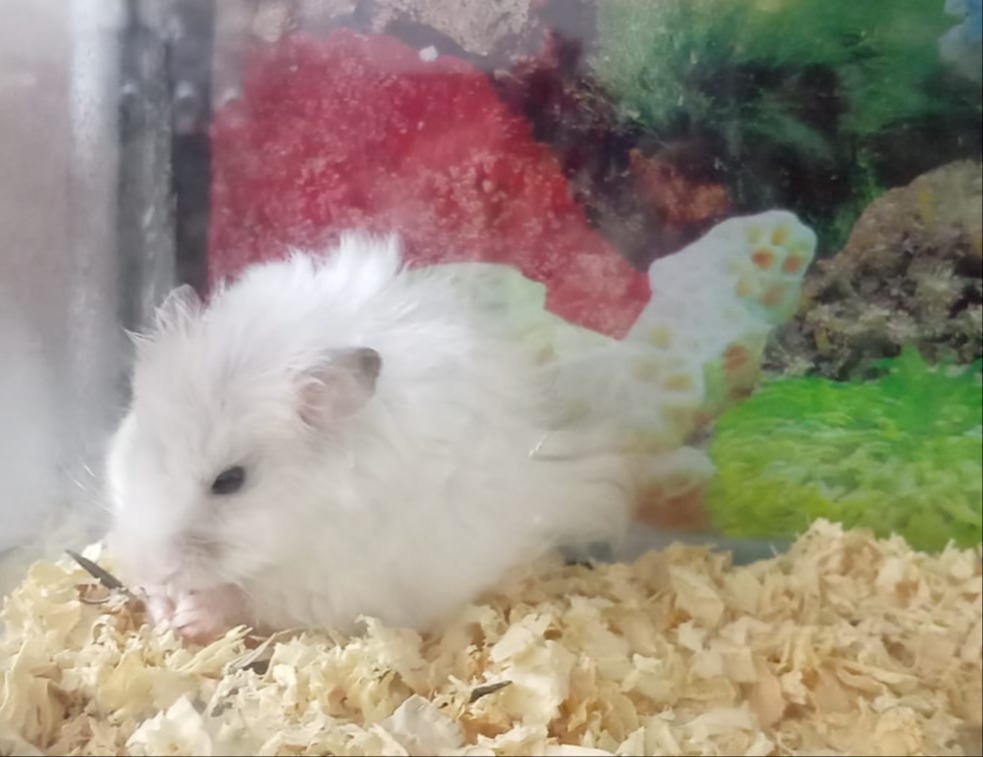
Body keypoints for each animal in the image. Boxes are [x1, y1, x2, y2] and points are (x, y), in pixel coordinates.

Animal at [105, 232, 635, 643]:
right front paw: (162, 608)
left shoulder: (327, 584)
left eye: (231, 481)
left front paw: (190, 616)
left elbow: (243, 597)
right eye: (139, 449)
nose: (146, 568)